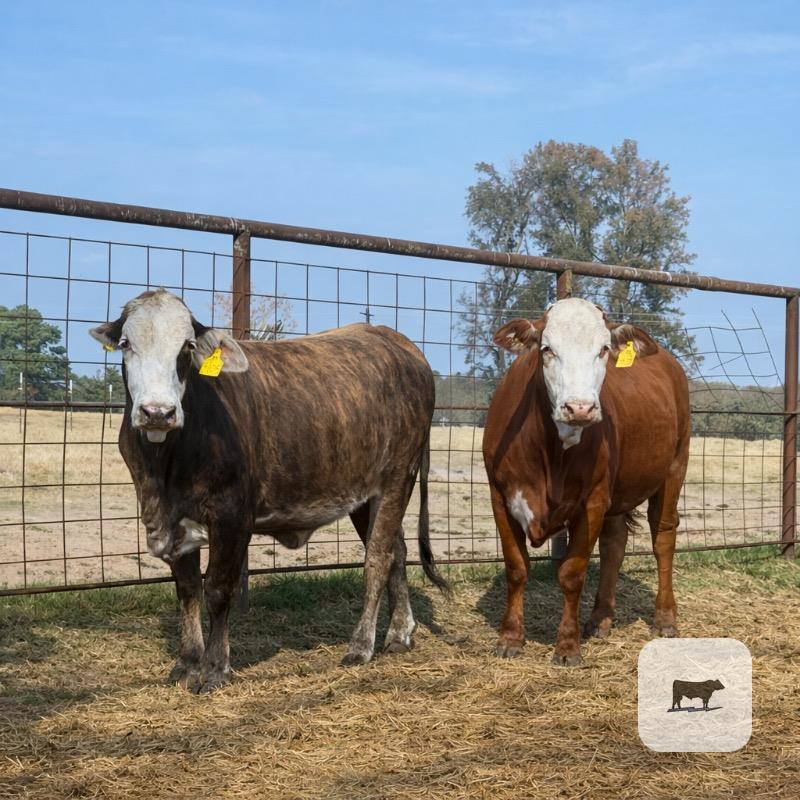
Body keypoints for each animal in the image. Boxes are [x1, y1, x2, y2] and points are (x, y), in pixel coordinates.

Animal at [90, 289, 446, 692]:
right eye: (125, 344)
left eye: (187, 347)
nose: (157, 412)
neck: (166, 461)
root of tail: (401, 344)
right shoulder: (174, 516)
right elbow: (187, 589)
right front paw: (188, 662)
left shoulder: (232, 517)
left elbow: (218, 588)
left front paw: (215, 668)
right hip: (364, 496)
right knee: (397, 552)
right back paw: (400, 633)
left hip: (398, 478)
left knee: (378, 558)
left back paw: (361, 645)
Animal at [482, 297, 690, 665]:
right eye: (547, 349)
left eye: (604, 349)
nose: (579, 408)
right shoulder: (500, 496)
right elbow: (516, 567)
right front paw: (510, 638)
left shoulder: (592, 501)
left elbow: (572, 573)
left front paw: (567, 646)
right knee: (614, 544)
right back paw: (600, 618)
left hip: (674, 467)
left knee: (663, 537)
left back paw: (665, 617)